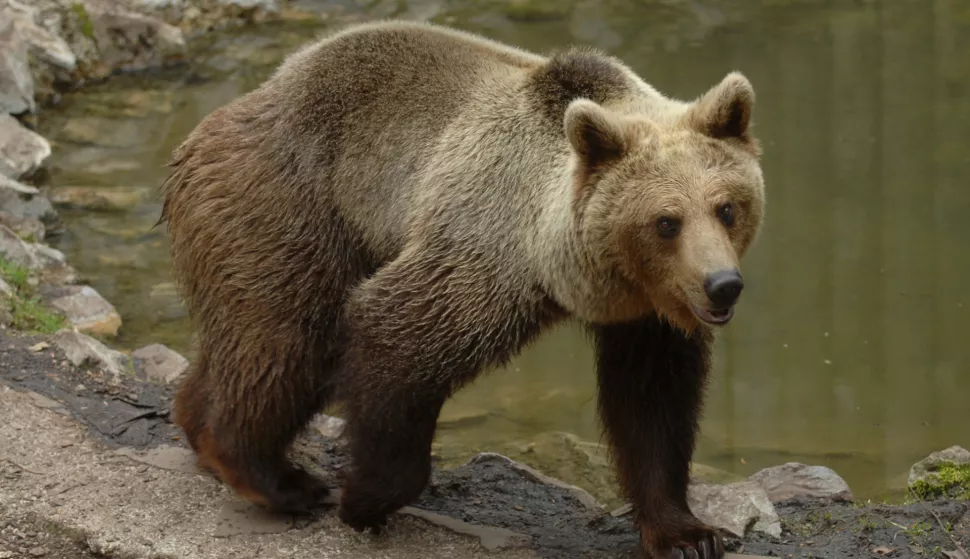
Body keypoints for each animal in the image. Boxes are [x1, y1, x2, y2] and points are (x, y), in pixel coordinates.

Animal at [159, 17, 764, 559]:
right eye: (666, 221)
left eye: (726, 207)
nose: (722, 286)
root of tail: (238, 106)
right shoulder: (485, 247)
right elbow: (398, 333)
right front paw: (364, 500)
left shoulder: (647, 315)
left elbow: (652, 405)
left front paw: (688, 535)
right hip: (291, 207)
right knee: (285, 341)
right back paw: (274, 477)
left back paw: (197, 419)